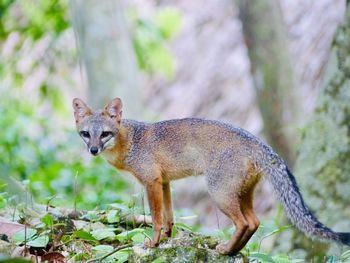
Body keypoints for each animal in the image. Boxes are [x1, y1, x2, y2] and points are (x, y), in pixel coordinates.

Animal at [72, 97, 348, 256]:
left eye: (105, 134)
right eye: (86, 134)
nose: (93, 150)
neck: (131, 142)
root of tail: (258, 142)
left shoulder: (151, 182)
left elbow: (156, 218)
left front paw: (153, 243)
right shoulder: (165, 182)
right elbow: (169, 217)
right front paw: (168, 240)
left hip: (219, 194)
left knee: (243, 222)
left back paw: (226, 250)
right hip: (240, 194)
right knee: (254, 222)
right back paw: (232, 250)